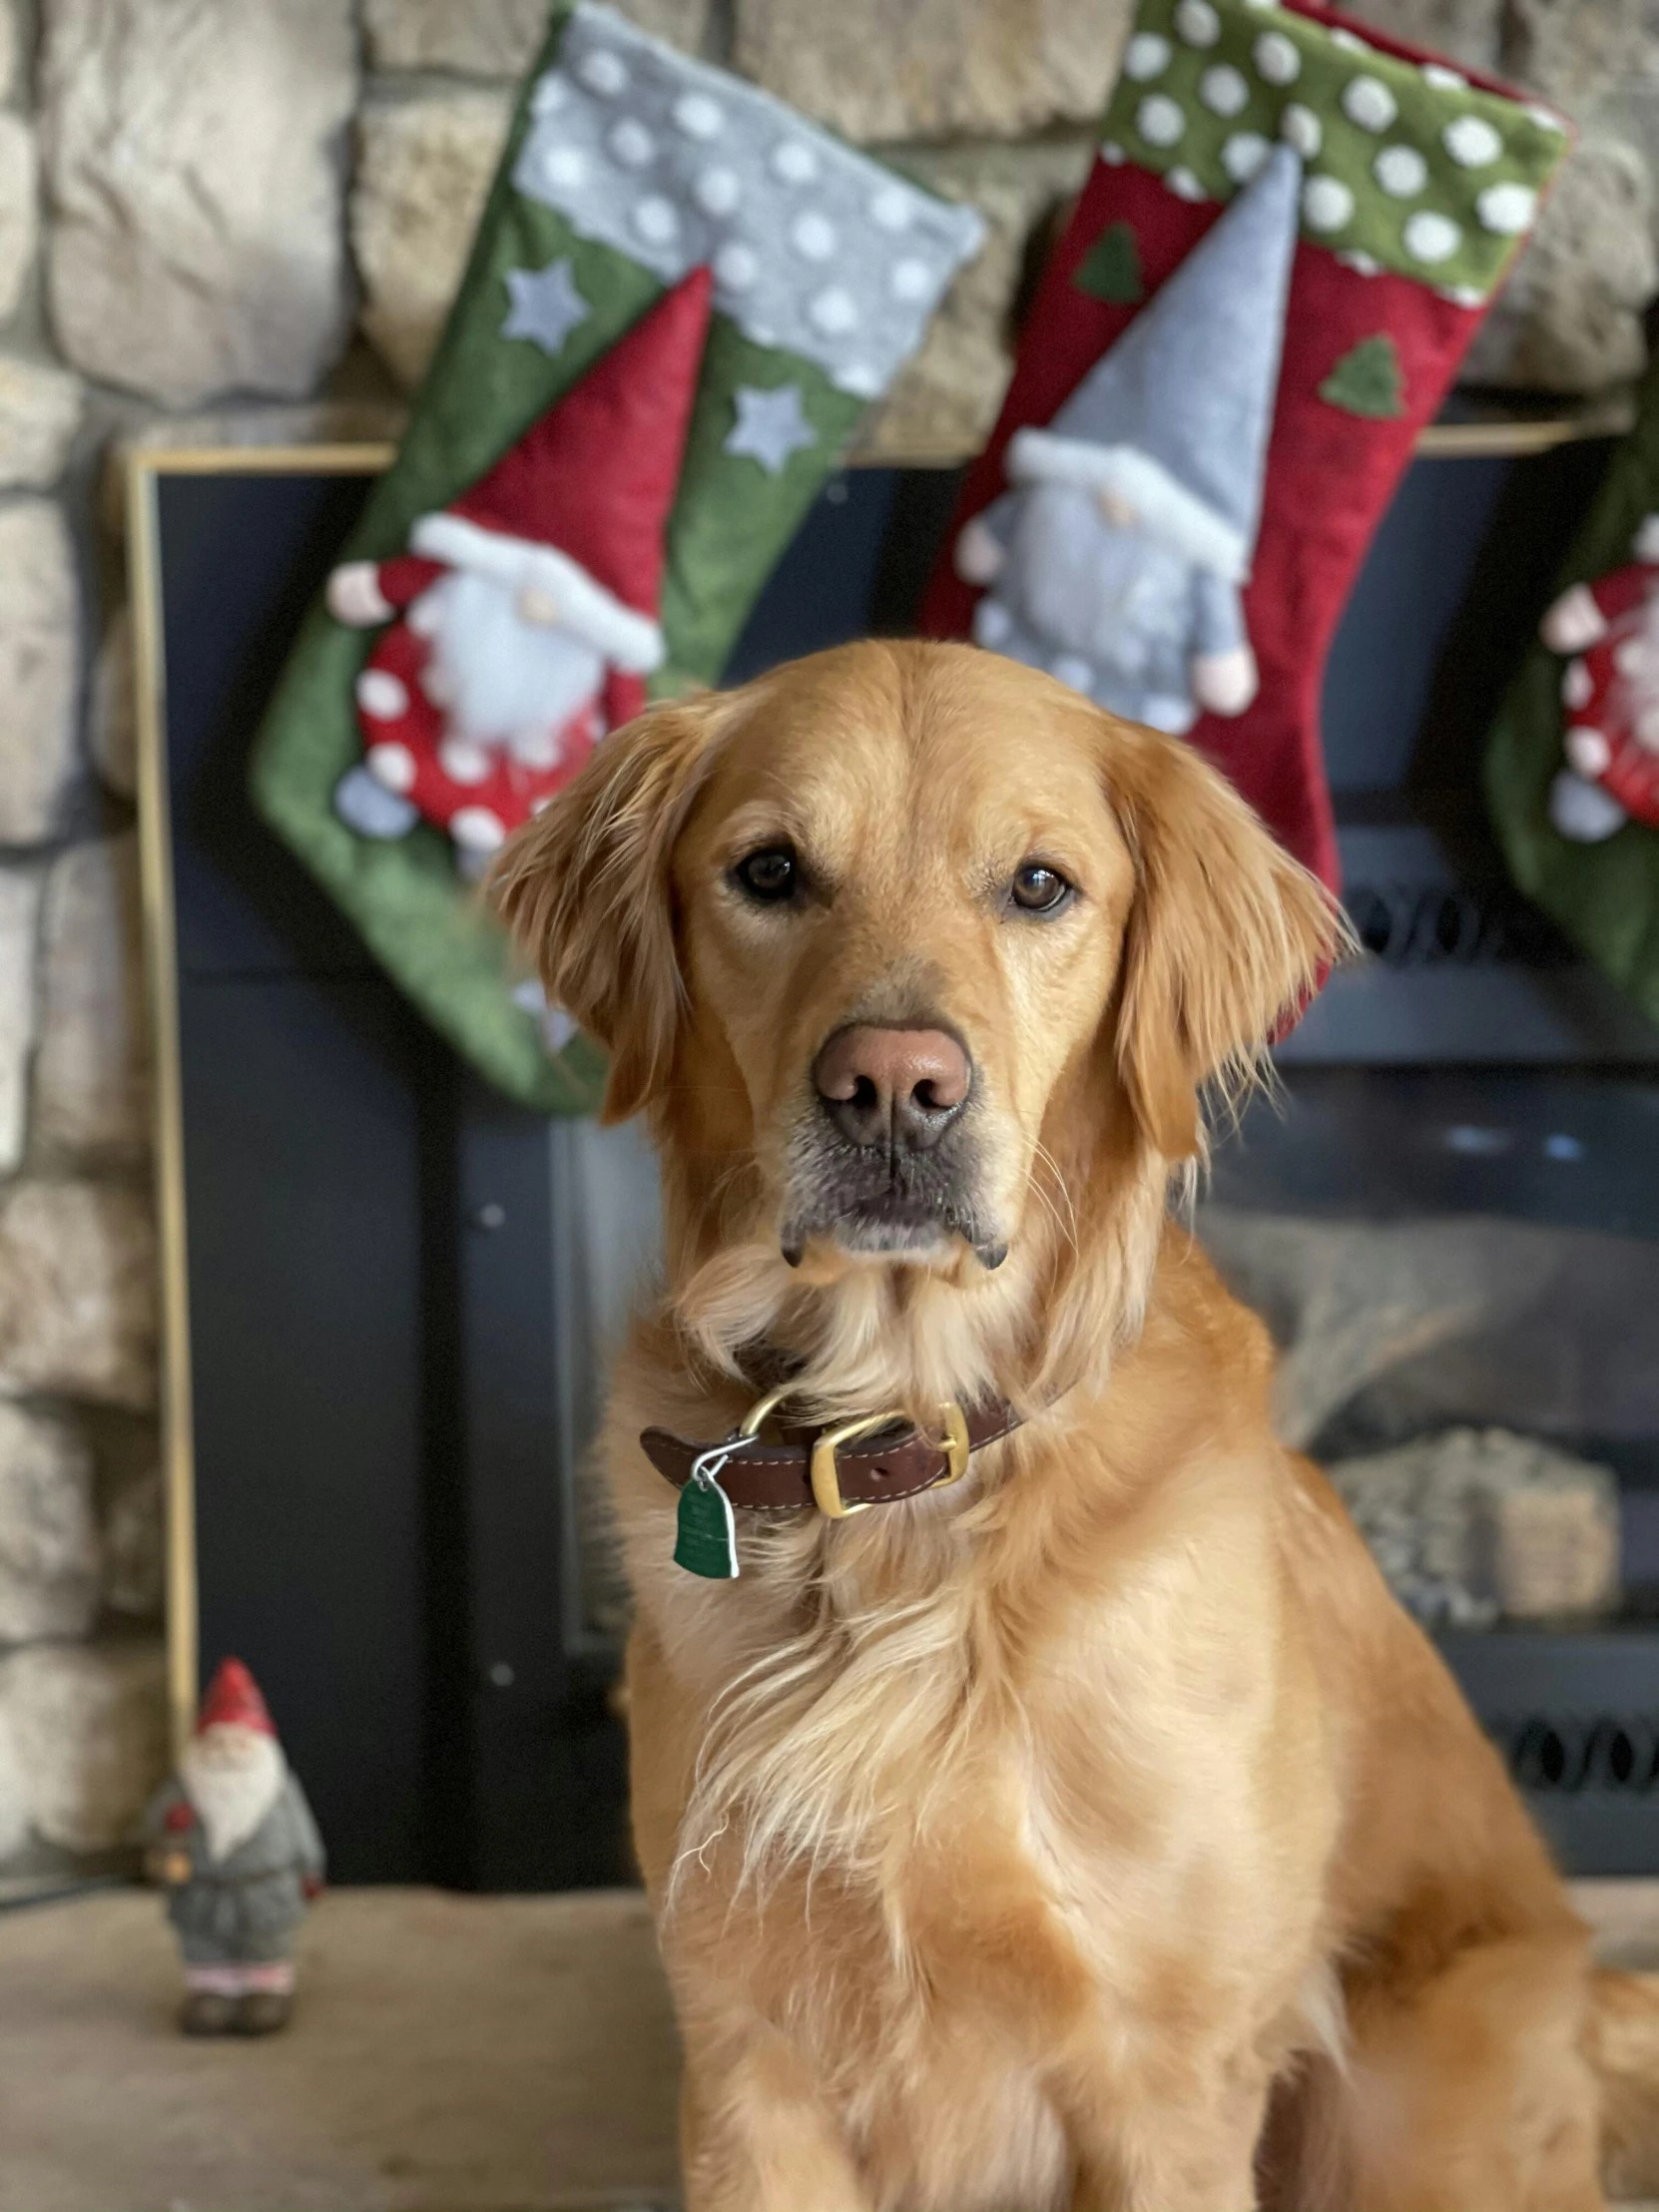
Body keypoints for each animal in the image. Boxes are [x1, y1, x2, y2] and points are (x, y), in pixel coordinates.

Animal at [490, 641, 1654, 2212]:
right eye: (770, 871)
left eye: (1038, 886)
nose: (895, 1086)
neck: (908, 1452)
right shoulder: (747, 2059)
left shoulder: (1168, 2079)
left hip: (1410, 2097)